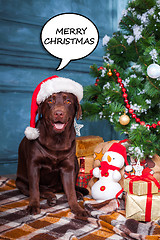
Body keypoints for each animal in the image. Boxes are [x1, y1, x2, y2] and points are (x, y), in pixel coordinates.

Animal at [15, 81, 89, 217]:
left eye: (68, 101)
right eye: (50, 101)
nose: (58, 113)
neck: (57, 139)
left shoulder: (68, 168)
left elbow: (70, 191)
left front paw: (77, 208)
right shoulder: (33, 165)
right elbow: (34, 189)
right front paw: (33, 205)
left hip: (75, 162)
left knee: (65, 188)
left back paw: (77, 193)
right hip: (20, 183)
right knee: (39, 190)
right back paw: (51, 196)